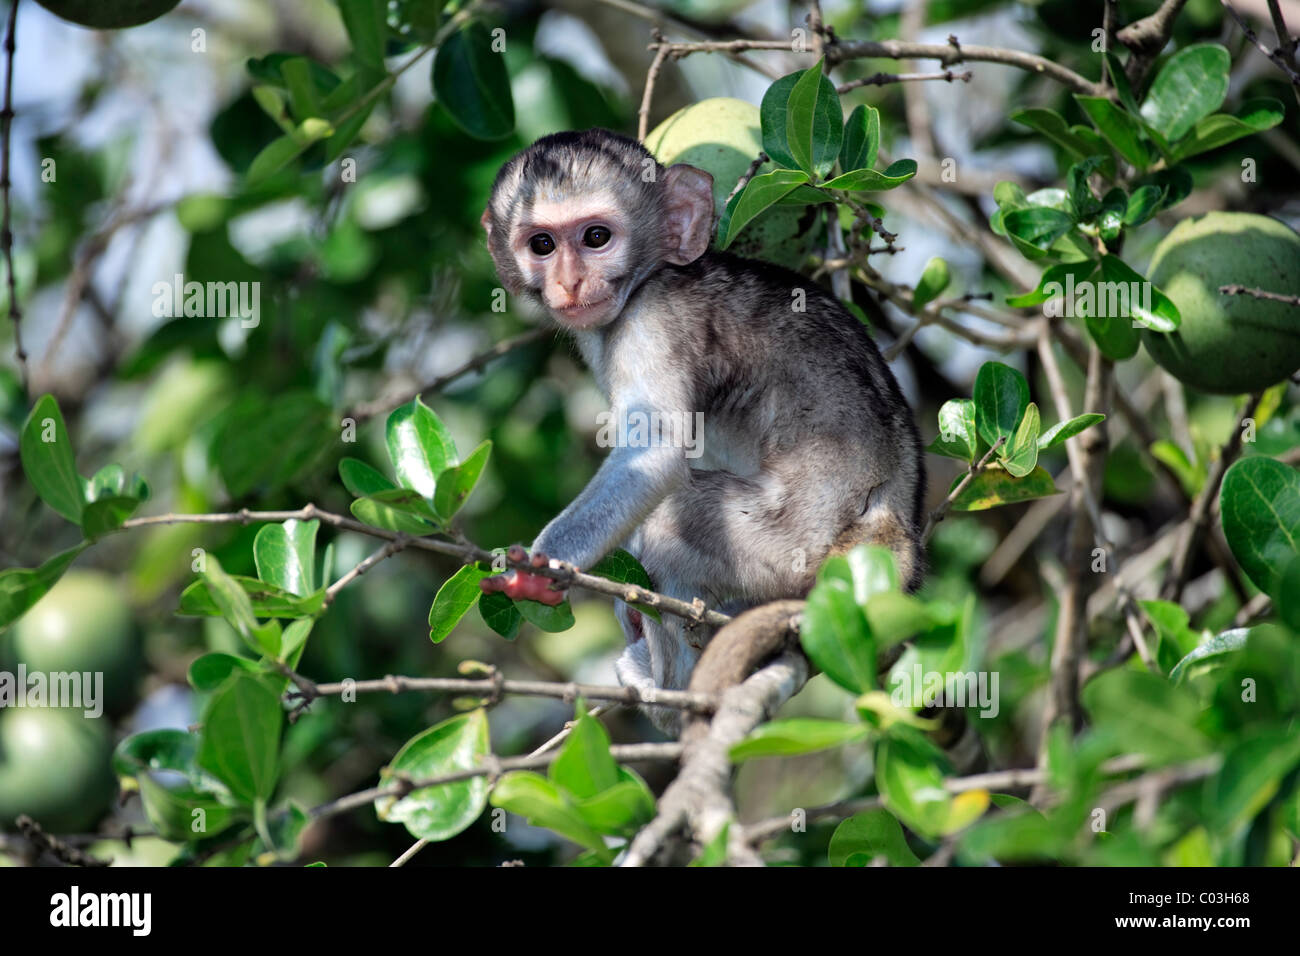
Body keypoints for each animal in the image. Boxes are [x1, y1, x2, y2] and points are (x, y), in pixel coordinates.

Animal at [480, 128, 925, 733]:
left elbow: (656, 453)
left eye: (596, 237)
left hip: (791, 546)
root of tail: (888, 528)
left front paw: (540, 567)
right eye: (541, 245)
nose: (570, 282)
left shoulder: (652, 320)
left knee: (667, 526)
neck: (654, 274)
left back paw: (673, 702)